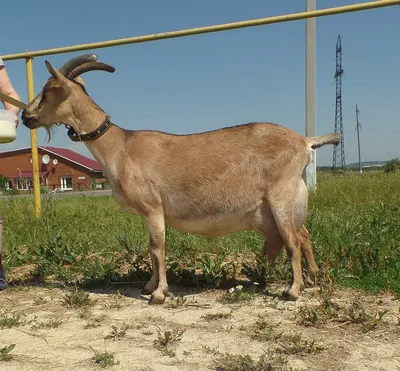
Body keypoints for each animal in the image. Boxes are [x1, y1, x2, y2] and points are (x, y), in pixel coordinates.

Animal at [21, 55, 340, 306]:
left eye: (48, 90)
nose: (26, 115)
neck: (120, 147)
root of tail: (305, 142)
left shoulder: (152, 206)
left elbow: (156, 247)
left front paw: (159, 293)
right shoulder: (149, 212)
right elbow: (152, 249)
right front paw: (149, 285)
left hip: (281, 195)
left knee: (292, 240)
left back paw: (293, 290)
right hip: (280, 205)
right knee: (303, 235)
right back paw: (313, 278)